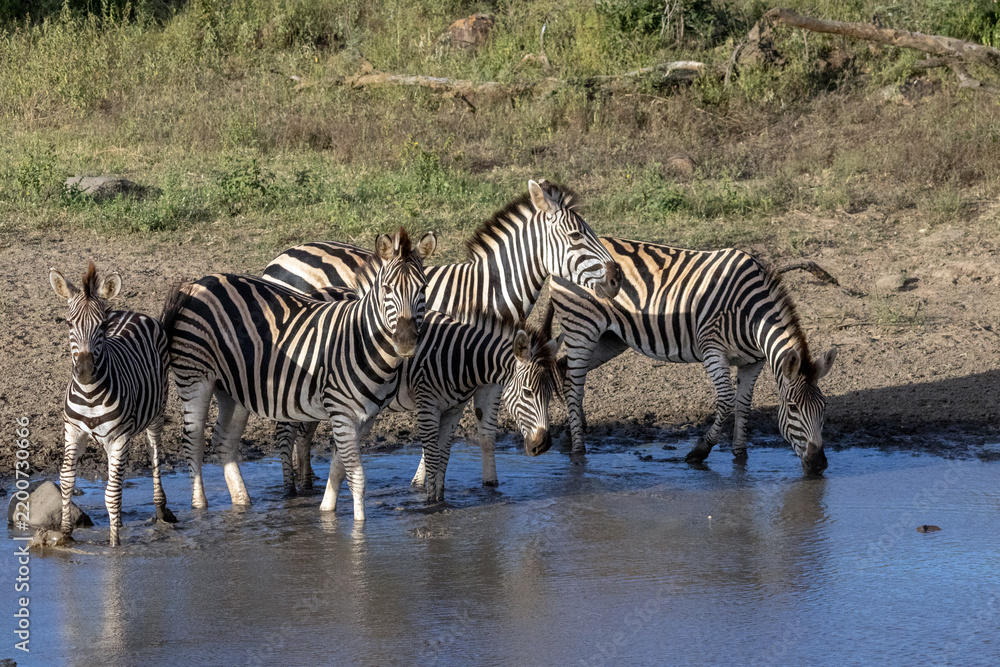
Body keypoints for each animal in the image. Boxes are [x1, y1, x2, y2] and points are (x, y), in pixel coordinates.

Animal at [49, 262, 174, 547]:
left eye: (103, 326)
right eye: (69, 323)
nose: (85, 372)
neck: (90, 395)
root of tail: (133, 312)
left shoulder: (118, 438)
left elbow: (111, 494)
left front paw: (115, 545)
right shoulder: (73, 432)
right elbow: (66, 481)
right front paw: (65, 535)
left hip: (157, 412)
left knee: (154, 454)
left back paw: (160, 508)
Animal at [163, 229, 434, 521]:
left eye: (423, 289)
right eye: (387, 289)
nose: (406, 342)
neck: (361, 341)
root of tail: (200, 282)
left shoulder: (367, 418)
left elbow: (339, 471)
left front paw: (326, 511)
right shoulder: (342, 412)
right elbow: (357, 477)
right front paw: (359, 527)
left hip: (232, 386)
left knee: (224, 441)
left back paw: (242, 502)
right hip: (195, 374)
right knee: (193, 440)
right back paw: (200, 507)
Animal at [279, 299, 561, 502]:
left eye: (549, 394)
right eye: (528, 392)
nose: (544, 445)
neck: (460, 357)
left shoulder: (454, 410)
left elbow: (445, 454)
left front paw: (440, 498)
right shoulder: (428, 406)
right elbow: (433, 455)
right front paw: (431, 504)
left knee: (303, 437)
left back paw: (305, 484)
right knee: (286, 435)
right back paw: (289, 490)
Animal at [550, 239, 837, 474]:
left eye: (823, 407)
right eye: (793, 408)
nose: (818, 465)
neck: (752, 316)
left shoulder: (753, 362)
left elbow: (743, 404)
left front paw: (740, 454)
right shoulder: (713, 350)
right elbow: (726, 402)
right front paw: (699, 451)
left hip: (611, 339)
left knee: (566, 369)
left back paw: (568, 434)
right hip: (582, 326)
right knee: (574, 383)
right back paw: (578, 449)